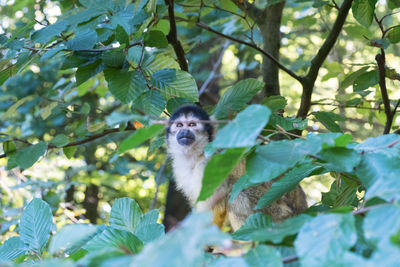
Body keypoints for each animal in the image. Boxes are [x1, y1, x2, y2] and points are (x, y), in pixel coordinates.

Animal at [166, 105, 306, 231]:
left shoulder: (208, 165)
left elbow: (215, 205)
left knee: (237, 194)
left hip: (278, 214)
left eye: (192, 124)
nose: (184, 132)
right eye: (179, 125)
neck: (198, 154)